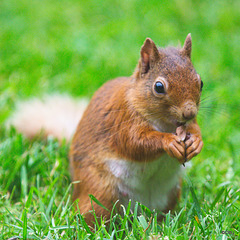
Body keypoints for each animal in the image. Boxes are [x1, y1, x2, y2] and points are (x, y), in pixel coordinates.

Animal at [10, 33, 202, 225]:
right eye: (159, 87)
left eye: (200, 82)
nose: (189, 112)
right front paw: (169, 142)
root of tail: (137, 212)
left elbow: (195, 129)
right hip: (100, 193)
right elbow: (135, 143)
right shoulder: (123, 120)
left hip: (169, 195)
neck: (166, 124)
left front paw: (196, 143)